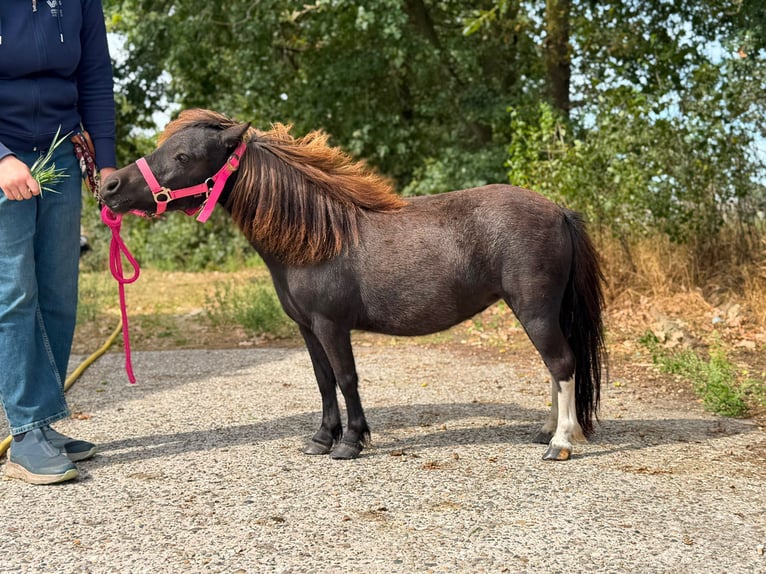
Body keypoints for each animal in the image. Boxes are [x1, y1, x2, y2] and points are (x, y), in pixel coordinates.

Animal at [101, 109, 606, 461]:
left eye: (183, 157)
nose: (110, 186)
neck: (313, 235)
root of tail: (560, 211)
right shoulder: (306, 328)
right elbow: (323, 380)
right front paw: (322, 439)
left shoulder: (331, 324)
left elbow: (346, 378)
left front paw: (350, 442)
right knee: (555, 368)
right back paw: (546, 431)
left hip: (534, 310)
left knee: (561, 363)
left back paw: (560, 443)